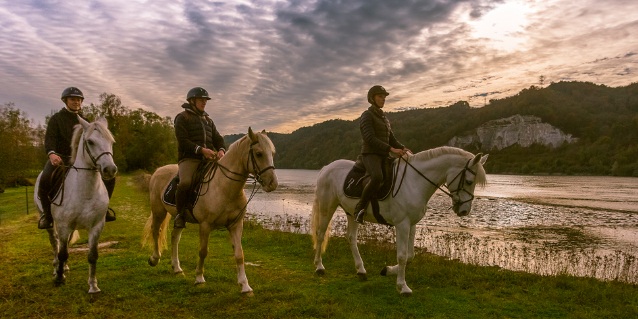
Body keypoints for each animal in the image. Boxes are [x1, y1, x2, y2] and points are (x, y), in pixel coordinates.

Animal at [33, 116, 117, 296]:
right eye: (90, 142)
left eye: (111, 141)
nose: (110, 170)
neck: (85, 192)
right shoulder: (64, 225)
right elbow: (63, 253)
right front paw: (59, 278)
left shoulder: (96, 226)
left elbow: (92, 255)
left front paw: (93, 285)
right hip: (51, 223)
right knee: (55, 243)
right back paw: (56, 268)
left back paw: (63, 268)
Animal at [144, 128, 278, 298]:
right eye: (259, 153)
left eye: (272, 153)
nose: (273, 184)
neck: (223, 187)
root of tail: (158, 171)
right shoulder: (205, 225)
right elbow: (203, 251)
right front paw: (199, 278)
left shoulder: (236, 225)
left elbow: (239, 254)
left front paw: (245, 286)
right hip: (158, 211)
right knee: (156, 231)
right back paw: (154, 259)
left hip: (180, 217)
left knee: (175, 237)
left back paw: (177, 268)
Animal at [314, 146, 490, 296]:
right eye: (469, 181)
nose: (464, 211)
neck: (414, 182)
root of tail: (326, 168)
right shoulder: (402, 224)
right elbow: (402, 255)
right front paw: (403, 286)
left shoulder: (412, 224)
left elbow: (410, 255)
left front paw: (387, 270)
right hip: (327, 208)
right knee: (320, 234)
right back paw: (319, 267)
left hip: (352, 213)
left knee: (351, 238)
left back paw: (361, 270)